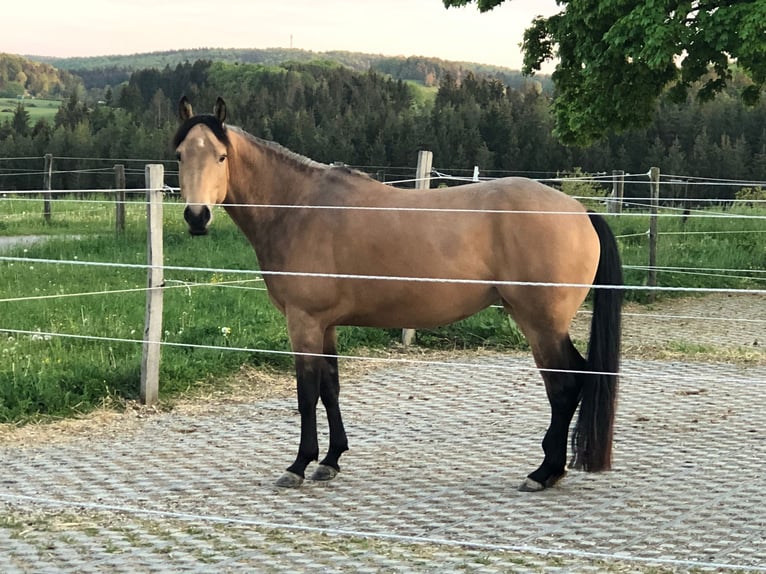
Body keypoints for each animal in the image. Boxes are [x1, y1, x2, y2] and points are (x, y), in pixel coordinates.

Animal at [173, 96, 623, 492]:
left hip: (541, 325)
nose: (197, 217)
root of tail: (579, 210)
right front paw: (330, 461)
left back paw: (543, 472)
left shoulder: (303, 321)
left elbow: (306, 394)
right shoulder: (327, 325)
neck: (298, 207)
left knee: (565, 386)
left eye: (221, 157)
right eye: (179, 155)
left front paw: (298, 465)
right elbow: (330, 388)